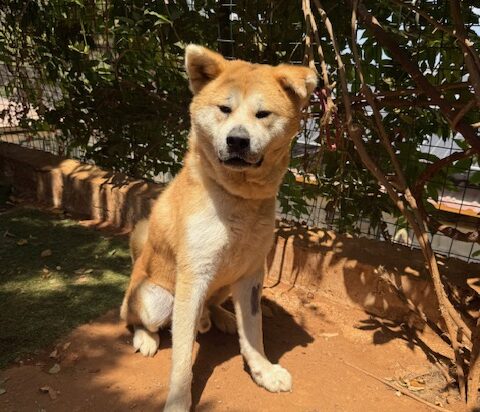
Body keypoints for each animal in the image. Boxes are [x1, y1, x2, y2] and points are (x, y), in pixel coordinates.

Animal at [120, 44, 317, 411]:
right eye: (224, 109)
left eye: (262, 114)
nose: (237, 140)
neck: (239, 199)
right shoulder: (193, 274)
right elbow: (182, 357)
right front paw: (178, 401)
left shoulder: (252, 273)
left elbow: (253, 331)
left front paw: (262, 371)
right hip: (155, 298)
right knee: (134, 318)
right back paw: (147, 336)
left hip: (224, 284)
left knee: (213, 305)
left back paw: (220, 317)